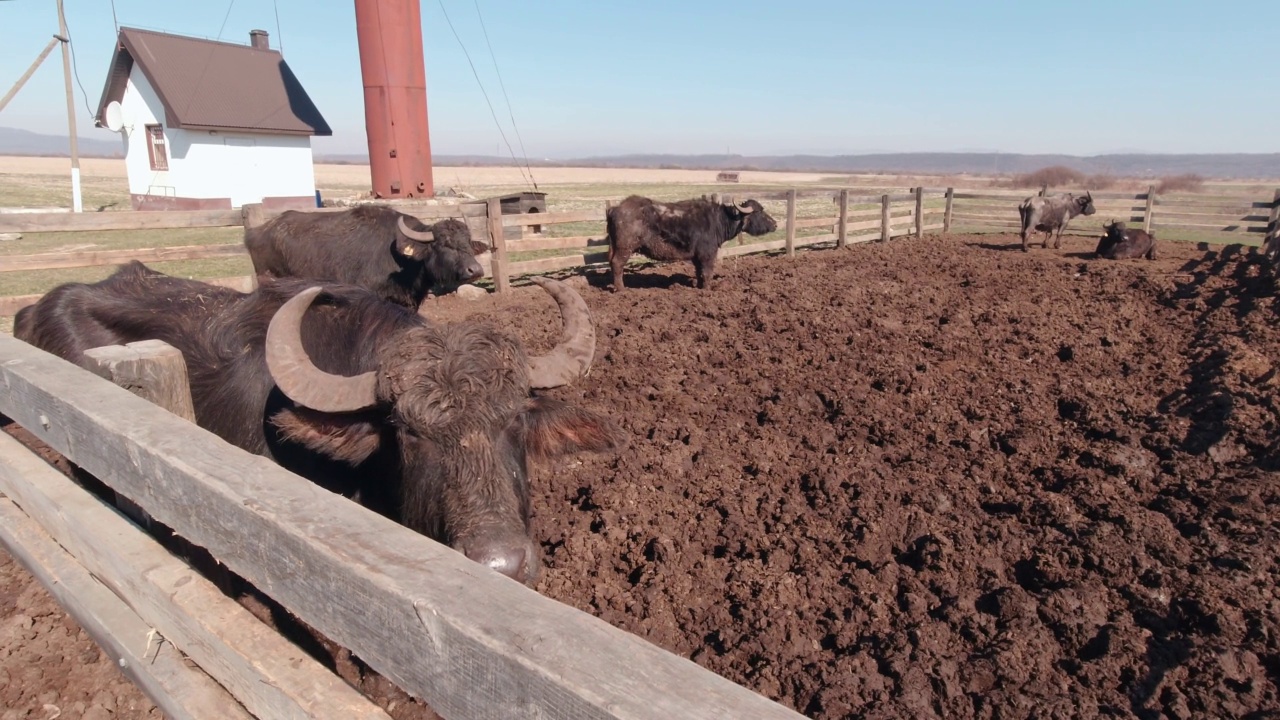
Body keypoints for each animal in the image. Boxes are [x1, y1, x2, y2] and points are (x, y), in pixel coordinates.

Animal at [604, 194, 773, 289]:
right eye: (759, 212)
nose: (775, 224)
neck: (718, 220)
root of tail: (614, 209)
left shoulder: (697, 257)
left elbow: (699, 273)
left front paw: (698, 286)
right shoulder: (708, 255)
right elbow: (707, 273)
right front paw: (707, 289)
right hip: (624, 248)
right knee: (617, 264)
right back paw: (621, 289)